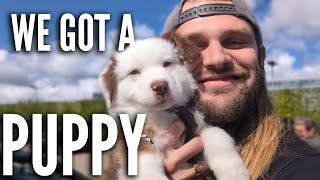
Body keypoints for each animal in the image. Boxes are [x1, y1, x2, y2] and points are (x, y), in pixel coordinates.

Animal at [99, 31, 249, 179]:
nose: (160, 86)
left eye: (167, 63)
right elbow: (144, 161)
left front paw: (234, 171)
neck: (163, 113)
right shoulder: (133, 139)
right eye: (134, 72)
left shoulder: (196, 124)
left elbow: (217, 134)